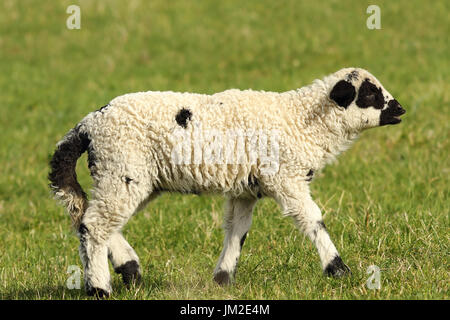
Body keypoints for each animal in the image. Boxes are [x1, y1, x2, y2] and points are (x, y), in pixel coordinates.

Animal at [48, 67, 404, 298]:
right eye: (369, 93)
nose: (400, 108)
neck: (301, 121)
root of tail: (88, 125)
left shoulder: (245, 188)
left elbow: (237, 231)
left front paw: (221, 280)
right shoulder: (286, 178)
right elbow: (313, 220)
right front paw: (338, 269)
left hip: (134, 178)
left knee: (91, 219)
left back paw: (130, 270)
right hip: (121, 168)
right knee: (94, 225)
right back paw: (100, 287)